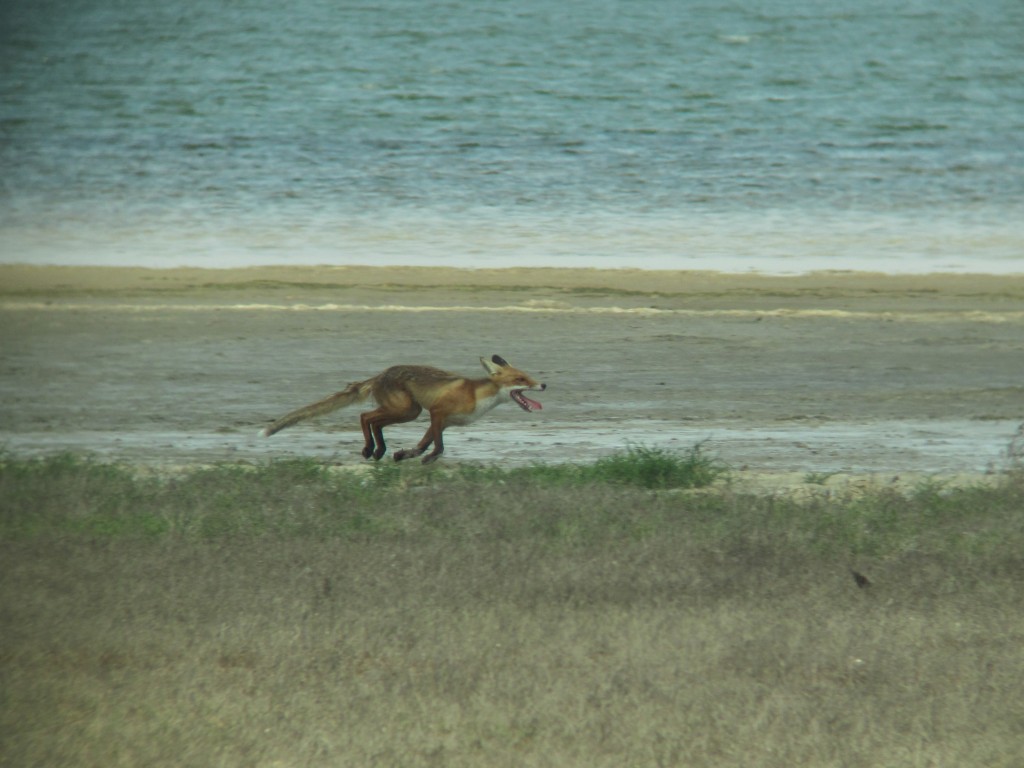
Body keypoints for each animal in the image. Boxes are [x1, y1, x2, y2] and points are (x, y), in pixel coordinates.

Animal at [262, 354, 544, 462]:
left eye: (529, 377)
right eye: (521, 379)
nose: (543, 384)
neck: (477, 397)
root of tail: (380, 374)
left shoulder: (442, 422)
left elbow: (423, 444)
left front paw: (404, 455)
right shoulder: (437, 413)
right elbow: (438, 447)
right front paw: (427, 459)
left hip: (407, 411)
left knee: (373, 421)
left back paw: (379, 450)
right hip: (408, 410)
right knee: (365, 416)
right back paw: (371, 449)